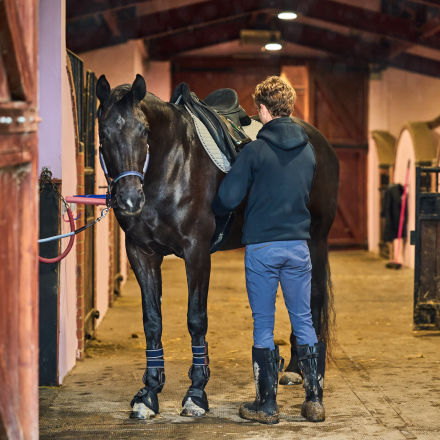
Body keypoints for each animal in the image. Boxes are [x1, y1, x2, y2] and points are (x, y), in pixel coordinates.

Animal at [95, 75, 336, 420]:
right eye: (103, 133)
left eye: (143, 131)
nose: (129, 200)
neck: (170, 165)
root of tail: (319, 142)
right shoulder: (141, 253)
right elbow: (152, 321)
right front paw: (149, 394)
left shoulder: (196, 252)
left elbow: (196, 319)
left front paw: (196, 394)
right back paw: (292, 369)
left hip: (314, 243)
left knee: (311, 304)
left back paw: (304, 375)